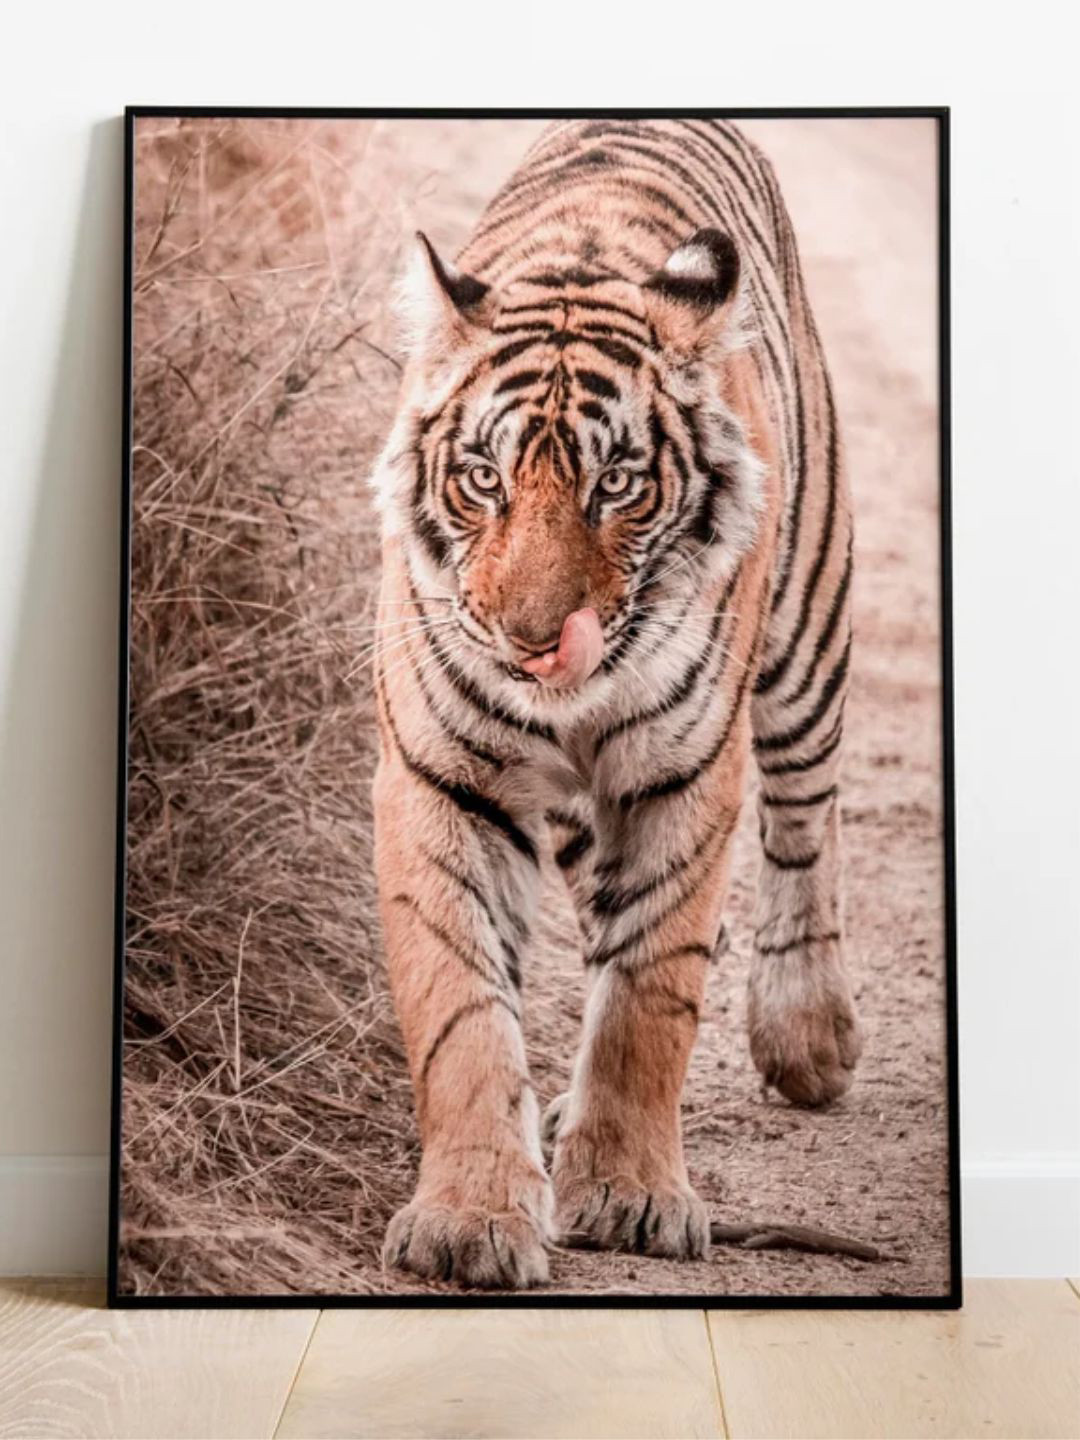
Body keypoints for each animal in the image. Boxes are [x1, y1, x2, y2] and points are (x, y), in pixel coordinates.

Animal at [369, 118, 861, 1289]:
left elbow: (649, 996)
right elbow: (461, 1009)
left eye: (619, 487)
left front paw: (632, 1195)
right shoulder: (440, 777)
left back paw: (806, 1034)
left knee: (804, 819)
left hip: (808, 626)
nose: (533, 639)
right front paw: (468, 1219)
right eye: (484, 480)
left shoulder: (681, 777)